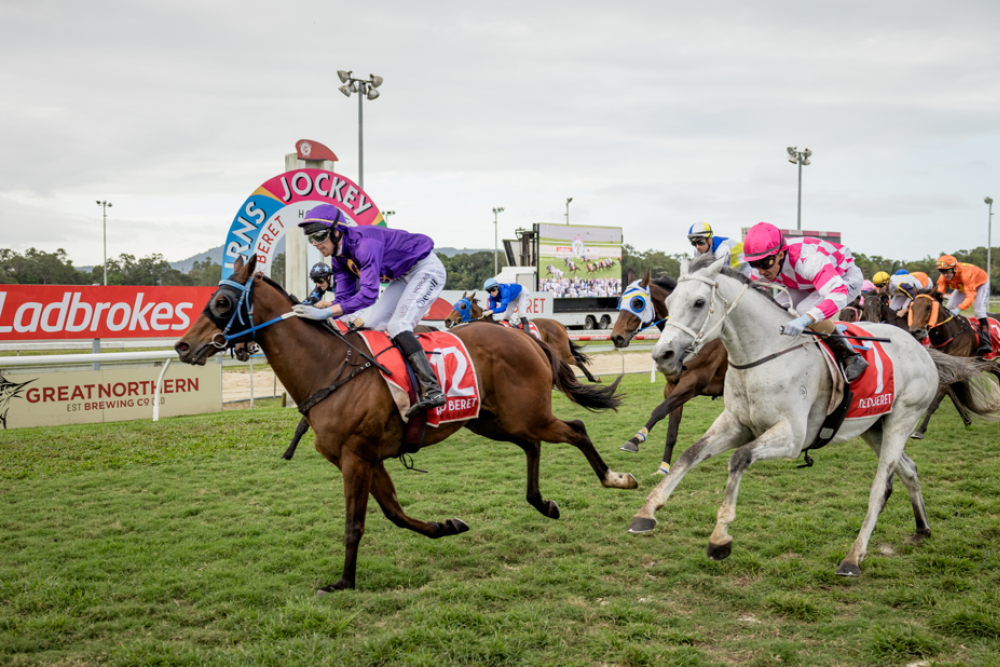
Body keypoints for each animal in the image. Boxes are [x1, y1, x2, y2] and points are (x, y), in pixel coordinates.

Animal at [446, 290, 600, 384]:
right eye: (453, 304)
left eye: (463, 306)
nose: (447, 320)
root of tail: (558, 324)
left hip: (562, 352)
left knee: (577, 359)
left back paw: (593, 378)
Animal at [608, 268, 728, 478]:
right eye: (620, 300)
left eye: (637, 303)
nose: (617, 337)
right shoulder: (672, 386)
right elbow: (671, 430)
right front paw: (663, 468)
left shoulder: (693, 383)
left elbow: (659, 410)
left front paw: (636, 439)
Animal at [628, 253, 1000, 576]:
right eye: (671, 300)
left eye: (699, 303)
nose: (663, 355)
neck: (763, 355)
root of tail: (922, 348)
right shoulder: (735, 425)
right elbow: (690, 454)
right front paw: (646, 512)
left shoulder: (791, 437)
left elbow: (739, 459)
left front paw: (720, 539)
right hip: (873, 427)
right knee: (908, 470)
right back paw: (921, 529)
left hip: (900, 422)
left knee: (881, 487)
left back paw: (853, 557)